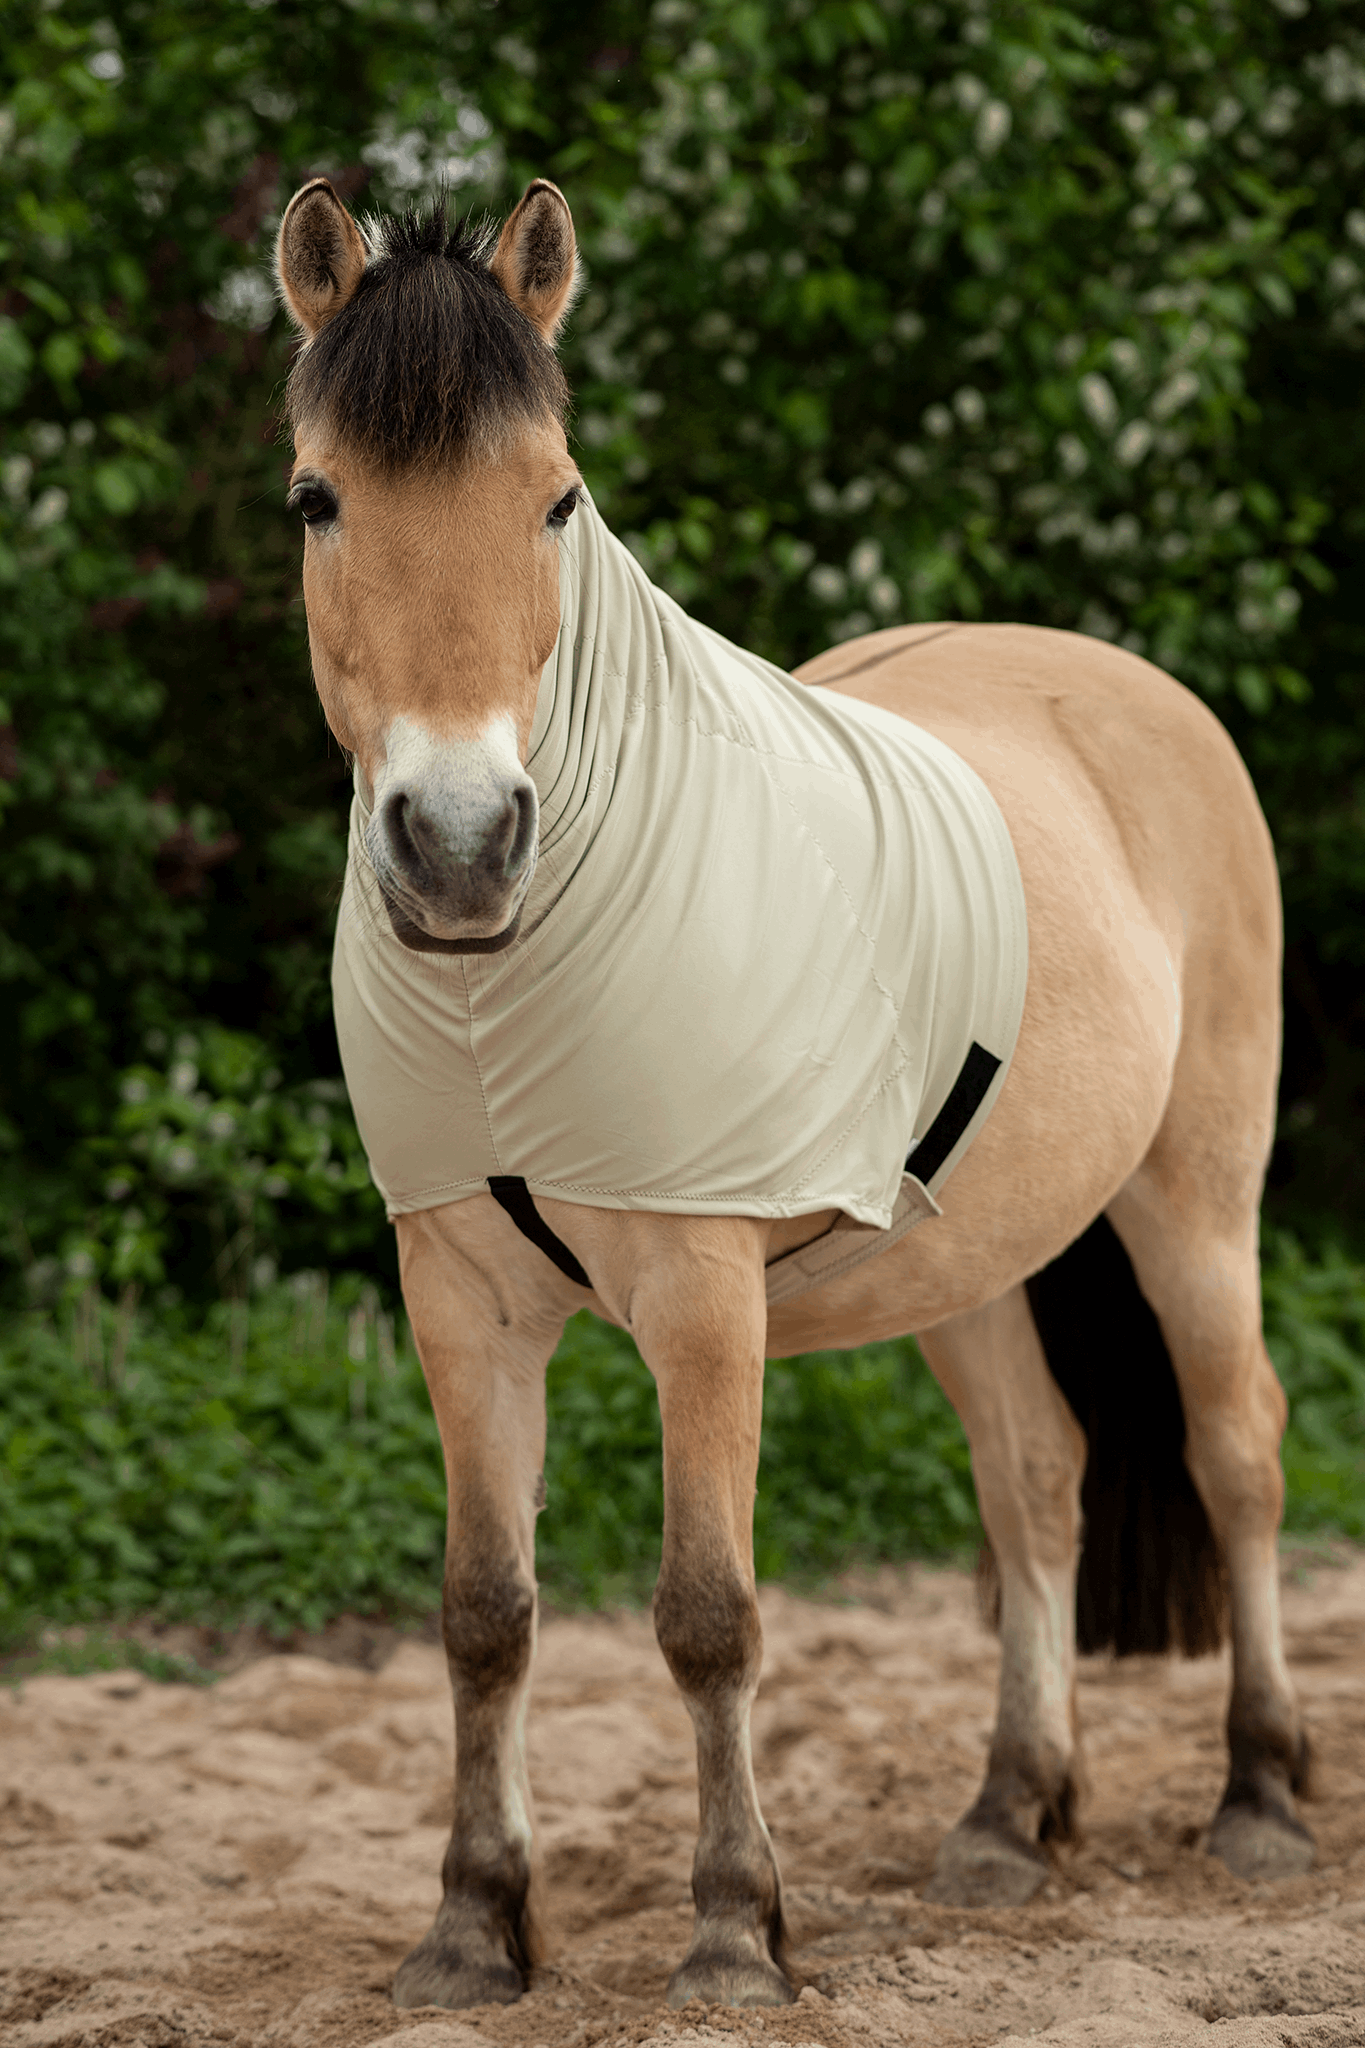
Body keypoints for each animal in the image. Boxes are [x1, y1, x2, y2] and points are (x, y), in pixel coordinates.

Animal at [273, 174, 1311, 2013]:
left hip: (1194, 1200)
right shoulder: (461, 1300)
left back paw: (1257, 1794)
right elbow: (484, 1612)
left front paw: (733, 1928)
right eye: (320, 499)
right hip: (971, 1260)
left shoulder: (702, 1297)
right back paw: (1007, 1815)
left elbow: (708, 1613)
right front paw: (473, 1925)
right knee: (1037, 1478)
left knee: (1234, 1447)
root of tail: (1129, 691)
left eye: (556, 503)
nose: (459, 848)